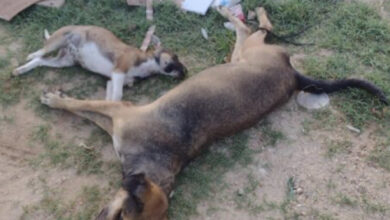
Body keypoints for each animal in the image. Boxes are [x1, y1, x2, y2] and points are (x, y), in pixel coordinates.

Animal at [13, 25, 187, 100]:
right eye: (175, 56)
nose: (186, 73)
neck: (148, 63)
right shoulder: (118, 72)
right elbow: (118, 95)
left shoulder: (112, 80)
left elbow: (112, 98)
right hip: (57, 41)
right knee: (40, 52)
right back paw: (30, 56)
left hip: (63, 61)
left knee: (40, 61)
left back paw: (20, 70)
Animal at [38, 6, 386, 220]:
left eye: (127, 213)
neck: (154, 167)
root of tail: (293, 74)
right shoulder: (116, 118)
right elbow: (86, 109)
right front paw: (56, 96)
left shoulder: (120, 113)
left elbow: (80, 106)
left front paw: (53, 99)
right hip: (241, 53)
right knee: (260, 27)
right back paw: (236, 12)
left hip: (246, 51)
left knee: (253, 28)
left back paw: (229, 12)